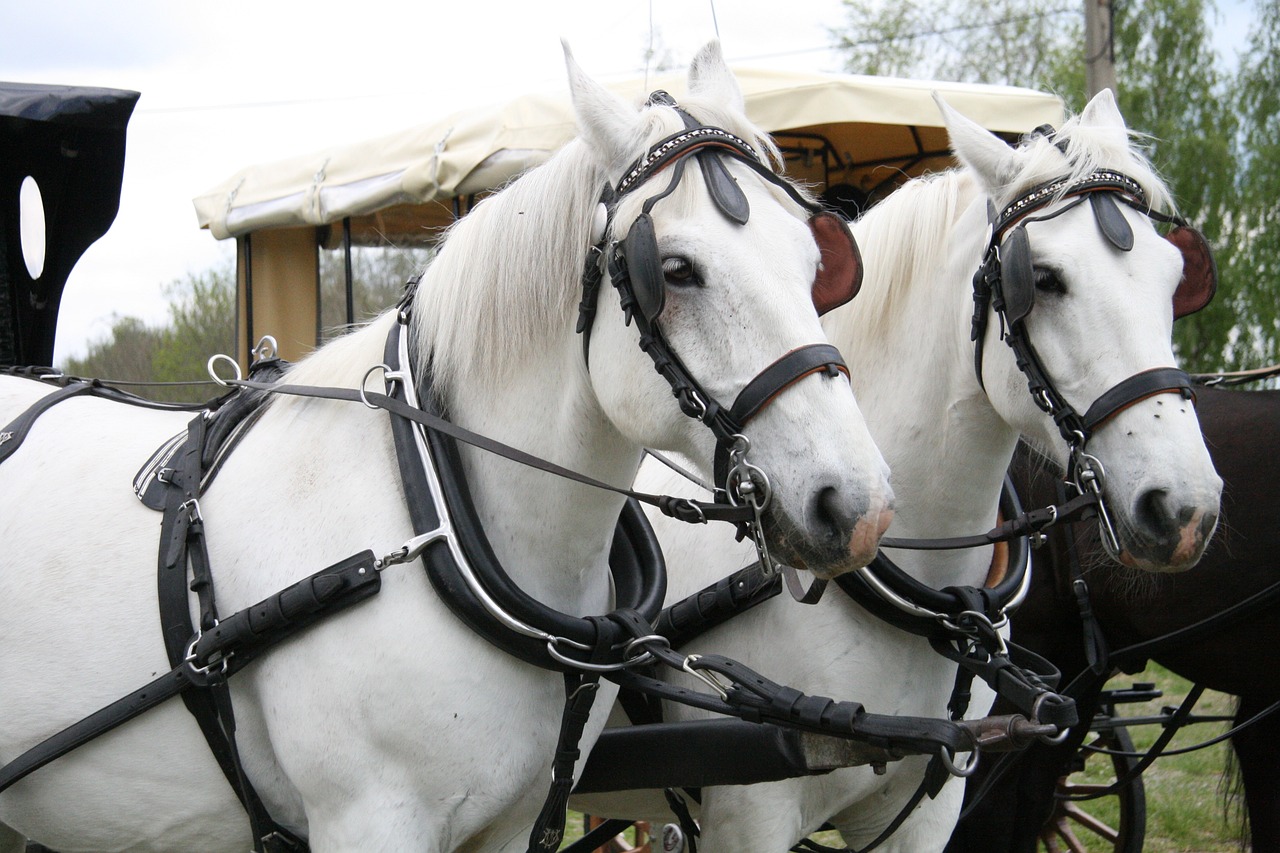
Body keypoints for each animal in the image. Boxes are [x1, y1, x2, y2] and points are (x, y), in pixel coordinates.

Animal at [0, 44, 896, 850]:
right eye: (675, 270)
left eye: (817, 261)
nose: (857, 506)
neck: (434, 511)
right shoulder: (369, 821)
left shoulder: (513, 820)